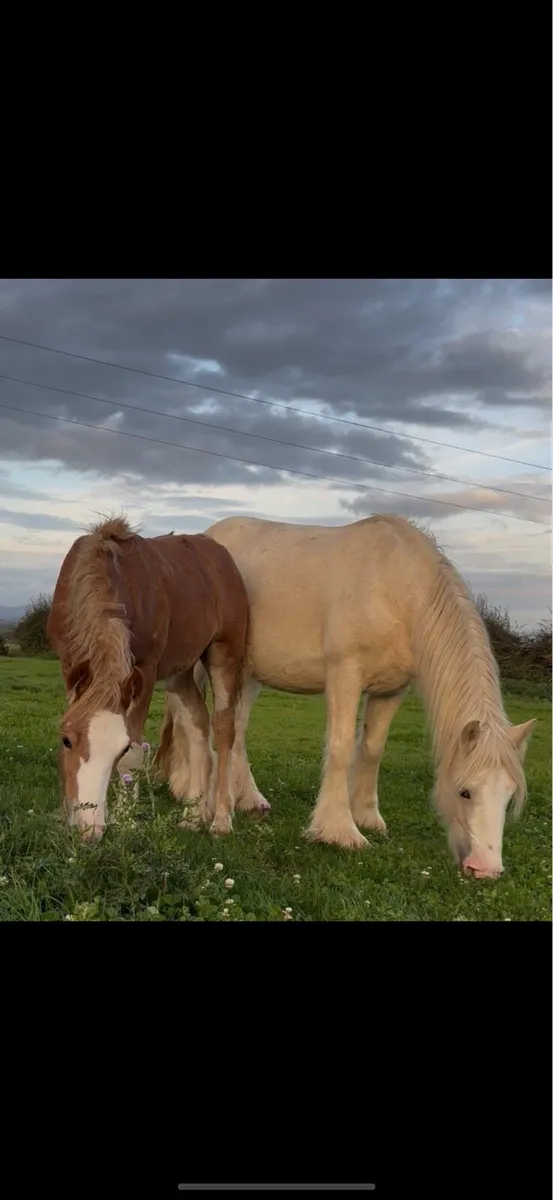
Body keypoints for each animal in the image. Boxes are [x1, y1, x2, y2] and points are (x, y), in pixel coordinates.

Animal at [46, 516, 249, 841]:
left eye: (119, 749)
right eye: (66, 740)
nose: (90, 830)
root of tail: (220, 555)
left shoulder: (146, 669)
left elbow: (134, 752)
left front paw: (126, 821)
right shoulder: (69, 662)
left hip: (224, 655)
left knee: (223, 728)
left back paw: (220, 819)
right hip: (179, 672)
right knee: (197, 724)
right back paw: (192, 817)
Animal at [158, 513, 536, 880]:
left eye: (509, 796)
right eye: (464, 791)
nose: (485, 869)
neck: (396, 586)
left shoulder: (391, 691)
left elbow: (371, 750)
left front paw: (367, 817)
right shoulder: (344, 674)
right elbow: (340, 748)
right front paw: (339, 831)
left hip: (246, 673)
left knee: (235, 728)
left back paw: (247, 799)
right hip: (199, 665)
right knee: (189, 720)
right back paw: (189, 791)